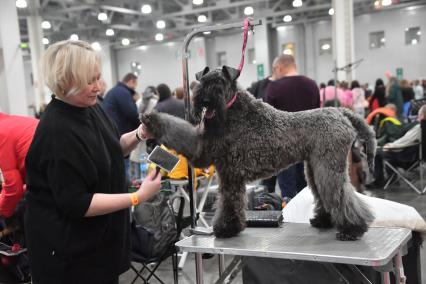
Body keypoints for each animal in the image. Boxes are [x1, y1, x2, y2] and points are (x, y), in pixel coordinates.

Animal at [143, 65, 376, 241]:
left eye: (220, 83)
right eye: (203, 82)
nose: (206, 100)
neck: (234, 114)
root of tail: (341, 113)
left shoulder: (226, 170)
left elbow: (229, 202)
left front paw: (226, 228)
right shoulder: (210, 156)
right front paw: (150, 120)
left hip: (328, 168)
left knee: (340, 195)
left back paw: (352, 229)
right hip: (314, 168)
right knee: (325, 195)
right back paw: (323, 221)